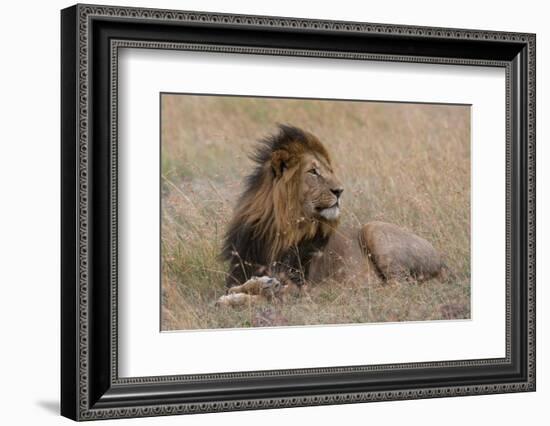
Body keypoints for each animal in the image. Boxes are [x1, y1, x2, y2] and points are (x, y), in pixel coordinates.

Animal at [218, 123, 446, 306]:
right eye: (313, 172)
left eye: (329, 171)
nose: (340, 191)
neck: (278, 230)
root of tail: (442, 263)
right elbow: (237, 287)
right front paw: (248, 289)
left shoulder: (299, 285)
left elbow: (270, 296)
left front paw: (243, 296)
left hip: (374, 229)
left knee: (398, 286)